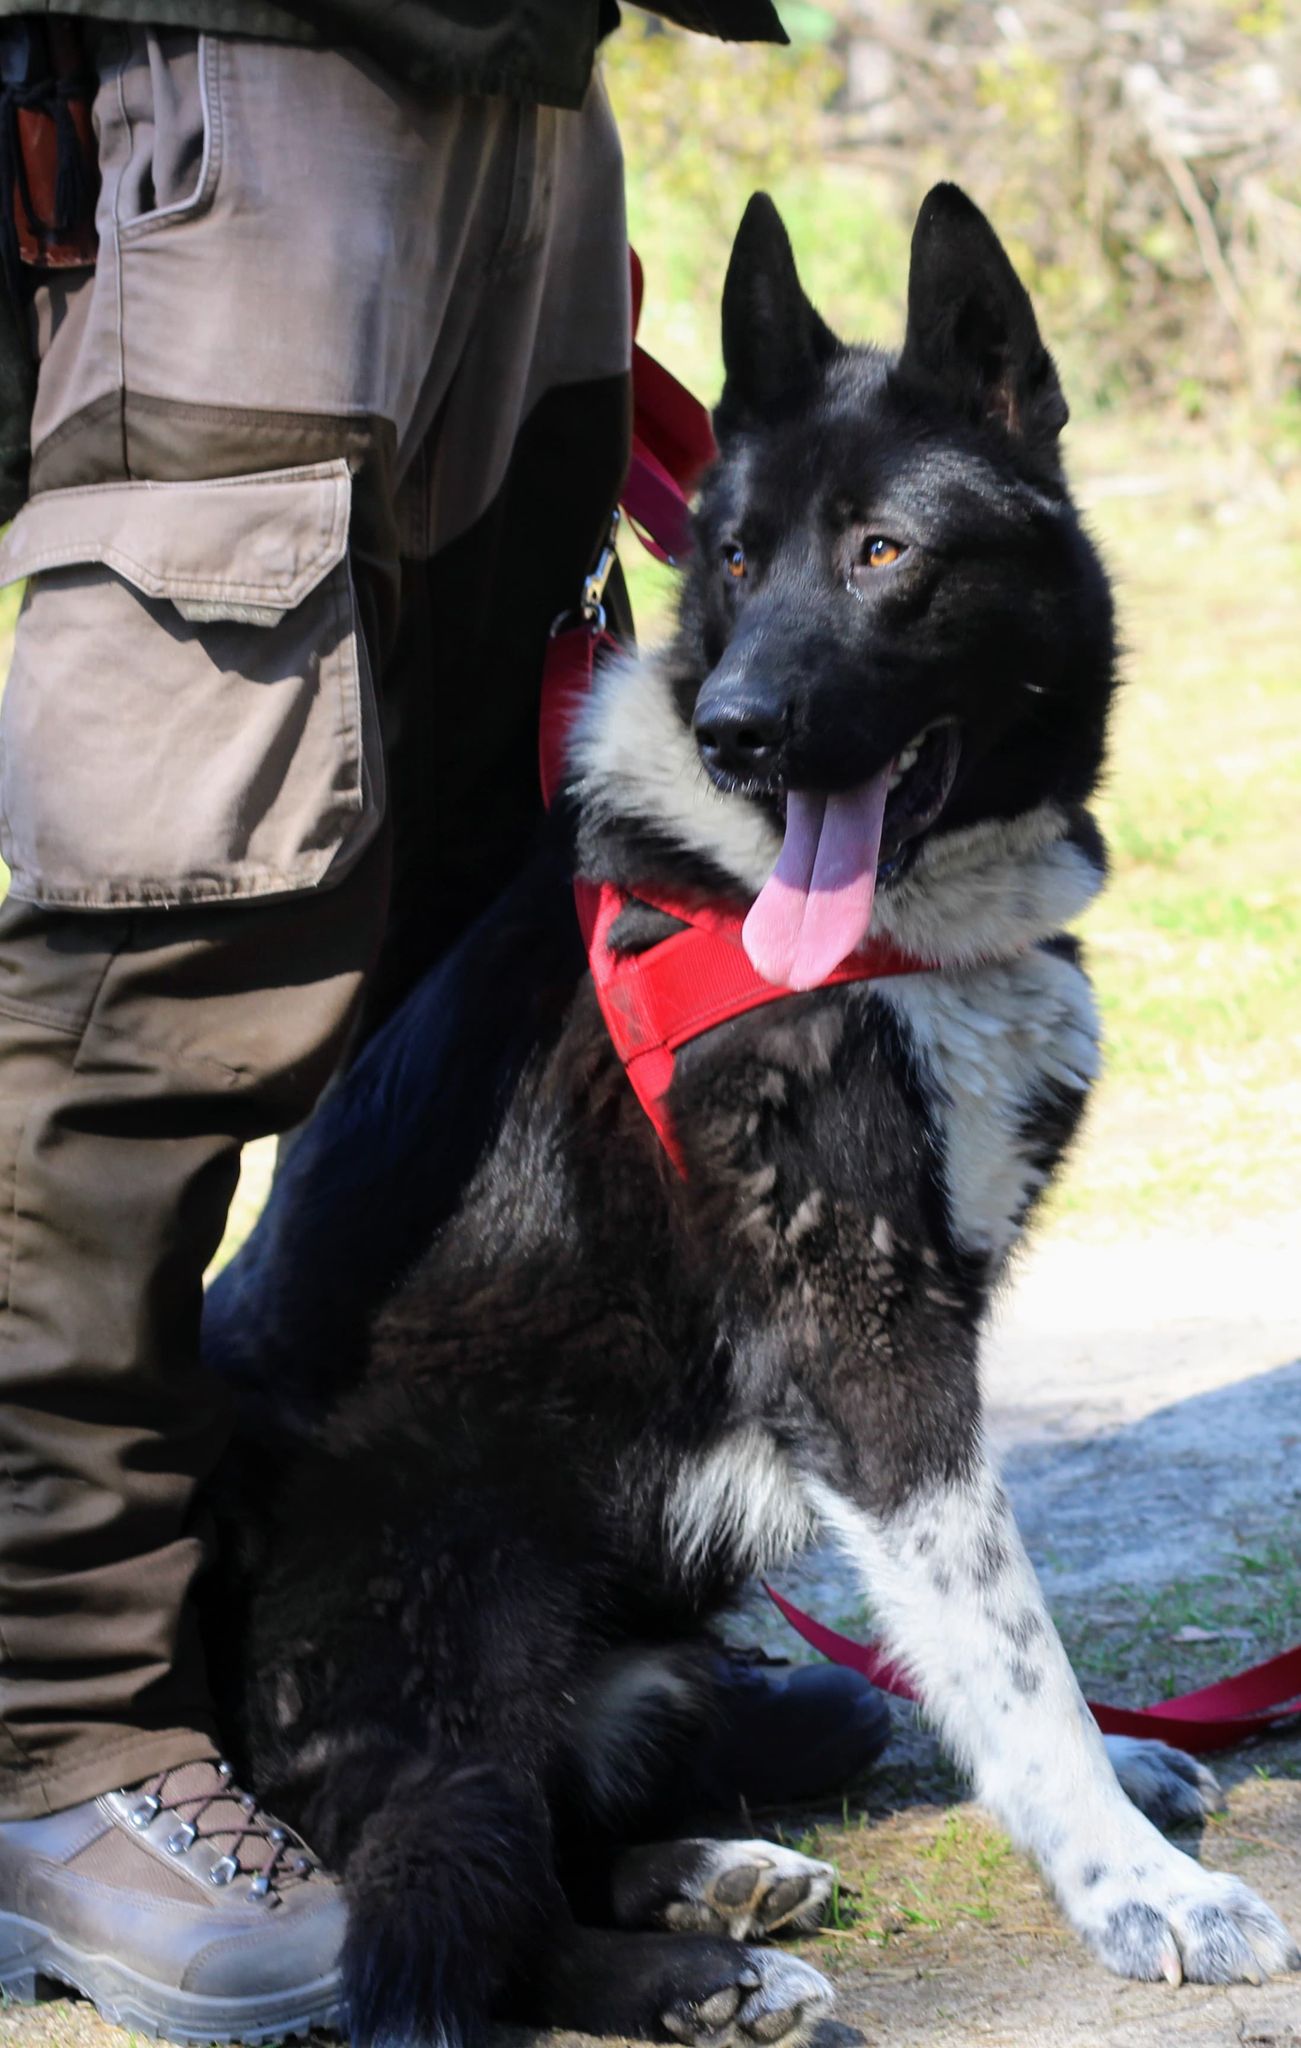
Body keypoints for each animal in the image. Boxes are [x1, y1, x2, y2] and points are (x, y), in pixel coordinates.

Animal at [210, 184, 1298, 2046]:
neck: (898, 924)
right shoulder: (862, 1340)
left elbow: (976, 1644)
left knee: (588, 1811)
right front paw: (1134, 1885)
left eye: (882, 555)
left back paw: (715, 1873)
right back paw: (701, 1973)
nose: (740, 735)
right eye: (732, 561)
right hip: (472, 1570)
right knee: (444, 1898)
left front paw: (1125, 1788)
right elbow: (1011, 1649)